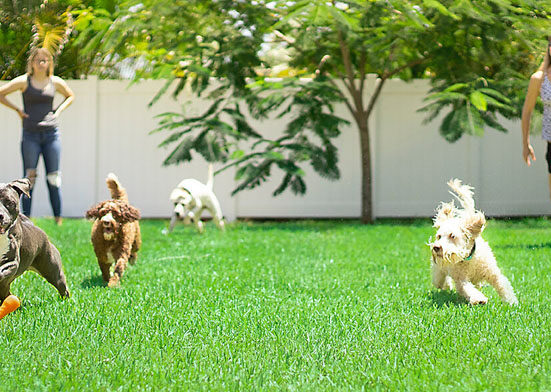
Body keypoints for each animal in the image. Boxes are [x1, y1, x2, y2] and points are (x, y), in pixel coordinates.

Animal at [432, 178, 516, 306]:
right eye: (439, 236)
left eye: (452, 236)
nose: (436, 247)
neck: (470, 259)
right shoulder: (461, 280)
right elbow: (468, 288)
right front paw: (479, 299)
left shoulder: (493, 273)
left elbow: (502, 286)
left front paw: (511, 302)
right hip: (438, 271)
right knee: (440, 281)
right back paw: (447, 286)